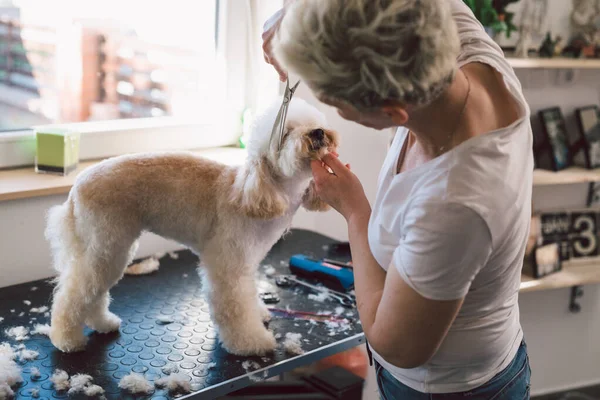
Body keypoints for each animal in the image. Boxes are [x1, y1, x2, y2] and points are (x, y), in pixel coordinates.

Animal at [45, 98, 340, 354]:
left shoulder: (248, 261)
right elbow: (235, 307)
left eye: (314, 122)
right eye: (286, 133)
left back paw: (102, 323)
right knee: (73, 294)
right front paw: (251, 342)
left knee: (92, 291)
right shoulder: (227, 265)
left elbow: (249, 294)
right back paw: (66, 339)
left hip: (107, 249)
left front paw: (258, 313)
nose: (317, 132)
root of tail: (76, 187)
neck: (261, 191)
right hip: (107, 246)